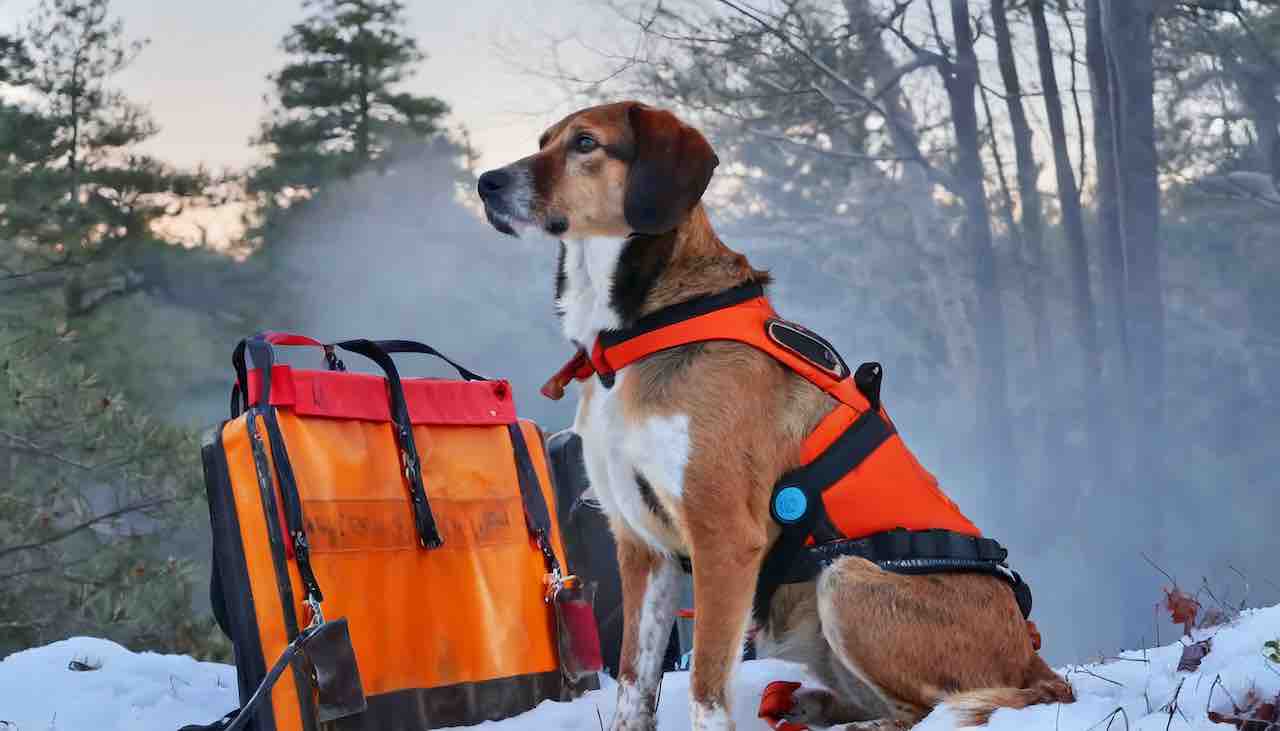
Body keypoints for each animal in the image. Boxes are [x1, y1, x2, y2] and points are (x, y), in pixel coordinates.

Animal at [478, 103, 1070, 731]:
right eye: (544, 140)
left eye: (585, 143)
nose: (486, 183)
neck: (636, 332)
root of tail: (1034, 663)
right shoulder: (642, 546)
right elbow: (635, 684)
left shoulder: (724, 537)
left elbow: (706, 685)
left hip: (846, 578)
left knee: (923, 711)